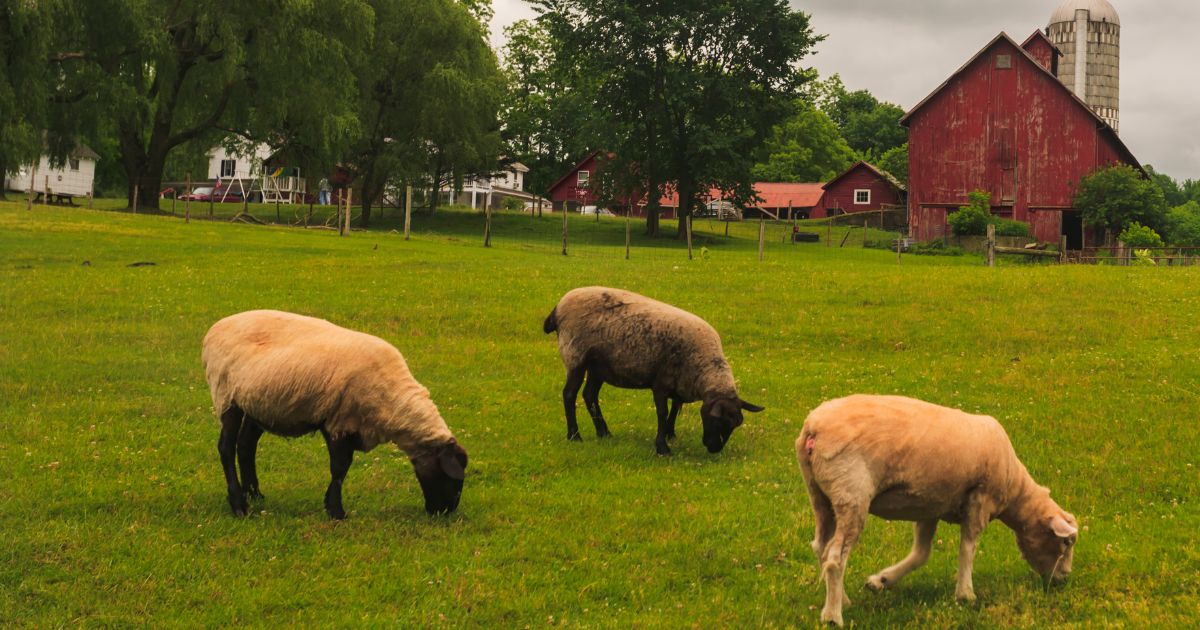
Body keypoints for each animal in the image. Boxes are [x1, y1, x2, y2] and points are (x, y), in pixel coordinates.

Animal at [201, 309, 468, 519]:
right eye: (454, 478)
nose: (445, 512)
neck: (392, 402)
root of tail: (213, 330)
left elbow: (341, 468)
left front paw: (331, 506)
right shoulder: (340, 421)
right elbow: (340, 467)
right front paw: (336, 511)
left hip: (258, 403)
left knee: (246, 446)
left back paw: (255, 494)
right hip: (227, 396)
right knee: (226, 448)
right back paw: (238, 504)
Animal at [543, 286, 763, 455]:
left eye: (734, 425)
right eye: (717, 420)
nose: (714, 449)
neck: (703, 367)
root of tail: (557, 308)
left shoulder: (680, 381)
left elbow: (675, 408)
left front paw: (670, 434)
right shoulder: (661, 383)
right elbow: (662, 412)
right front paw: (662, 447)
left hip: (598, 366)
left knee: (589, 395)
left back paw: (604, 433)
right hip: (575, 356)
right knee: (569, 395)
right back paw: (574, 436)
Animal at [796, 395, 1078, 627]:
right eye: (1067, 543)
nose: (1064, 578)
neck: (1015, 489)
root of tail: (814, 427)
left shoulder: (929, 505)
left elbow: (921, 554)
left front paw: (881, 581)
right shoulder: (979, 500)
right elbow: (968, 548)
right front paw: (965, 594)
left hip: (820, 494)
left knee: (821, 547)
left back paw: (842, 599)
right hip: (851, 492)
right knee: (835, 558)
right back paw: (833, 616)